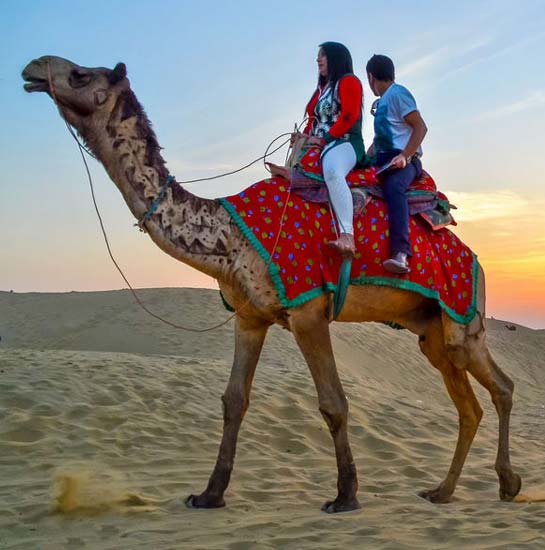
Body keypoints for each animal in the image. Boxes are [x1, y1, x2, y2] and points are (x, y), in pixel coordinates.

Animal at [22, 56, 524, 512]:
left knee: (500, 387)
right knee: (469, 405)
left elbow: (333, 402)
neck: (229, 235)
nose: (32, 67)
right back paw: (443, 491)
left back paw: (507, 483)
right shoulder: (250, 317)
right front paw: (209, 494)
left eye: (81, 74)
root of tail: (475, 258)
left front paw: (345, 496)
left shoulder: (307, 311)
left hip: (463, 315)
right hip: (430, 329)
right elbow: (233, 400)